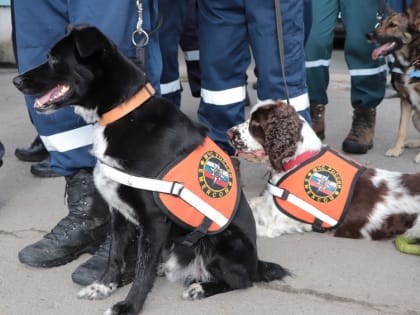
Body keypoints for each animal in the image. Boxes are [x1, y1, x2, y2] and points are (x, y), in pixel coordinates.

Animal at [13, 25, 288, 315]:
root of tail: (256, 262)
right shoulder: (118, 213)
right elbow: (115, 255)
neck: (123, 113)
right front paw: (103, 286)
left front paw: (129, 306)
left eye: (54, 59)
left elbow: (141, 272)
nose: (16, 81)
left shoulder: (154, 221)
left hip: (223, 242)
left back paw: (201, 287)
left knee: (241, 280)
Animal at [366, 0, 420, 163]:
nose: (368, 35)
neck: (411, 60)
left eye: (393, 25)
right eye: (381, 23)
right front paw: (397, 149)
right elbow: (401, 129)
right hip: (416, 116)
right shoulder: (406, 100)